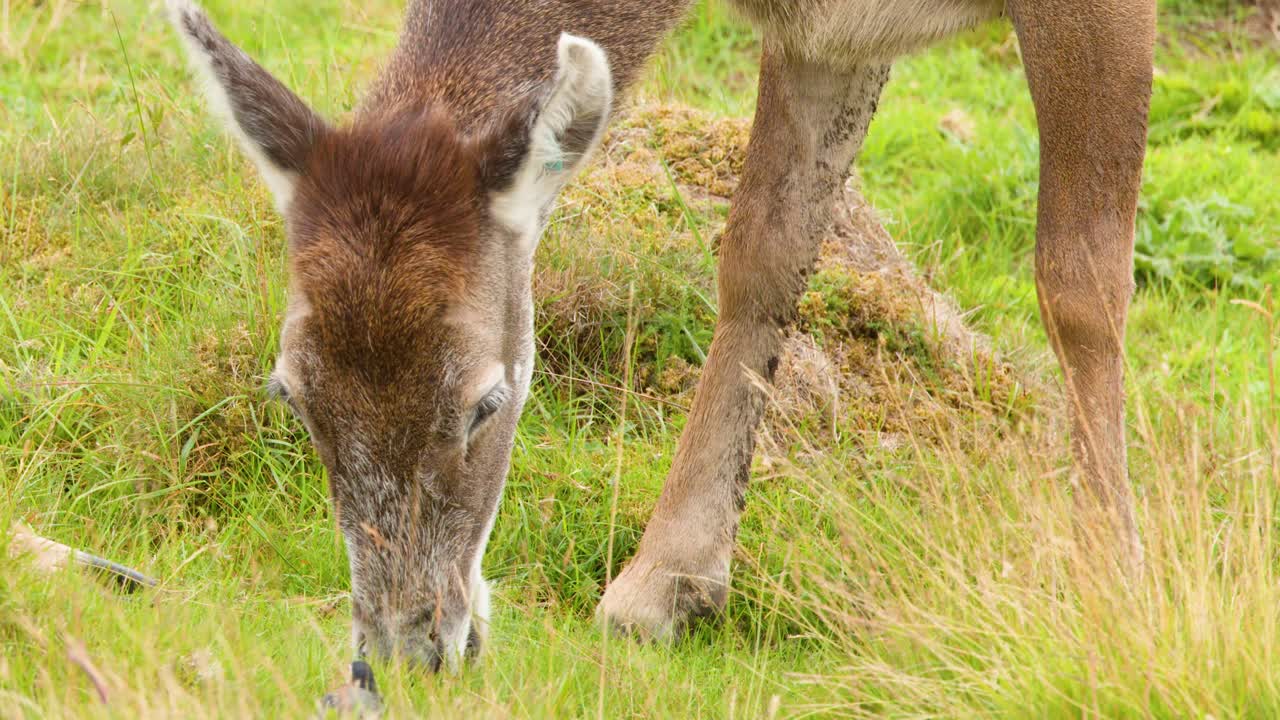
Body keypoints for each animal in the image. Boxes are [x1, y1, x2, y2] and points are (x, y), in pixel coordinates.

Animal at [167, 0, 1155, 668]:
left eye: (486, 400)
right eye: (293, 395)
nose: (412, 647)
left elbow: (1080, 281)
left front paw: (1109, 598)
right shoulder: (828, 28)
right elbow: (765, 246)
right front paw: (665, 584)